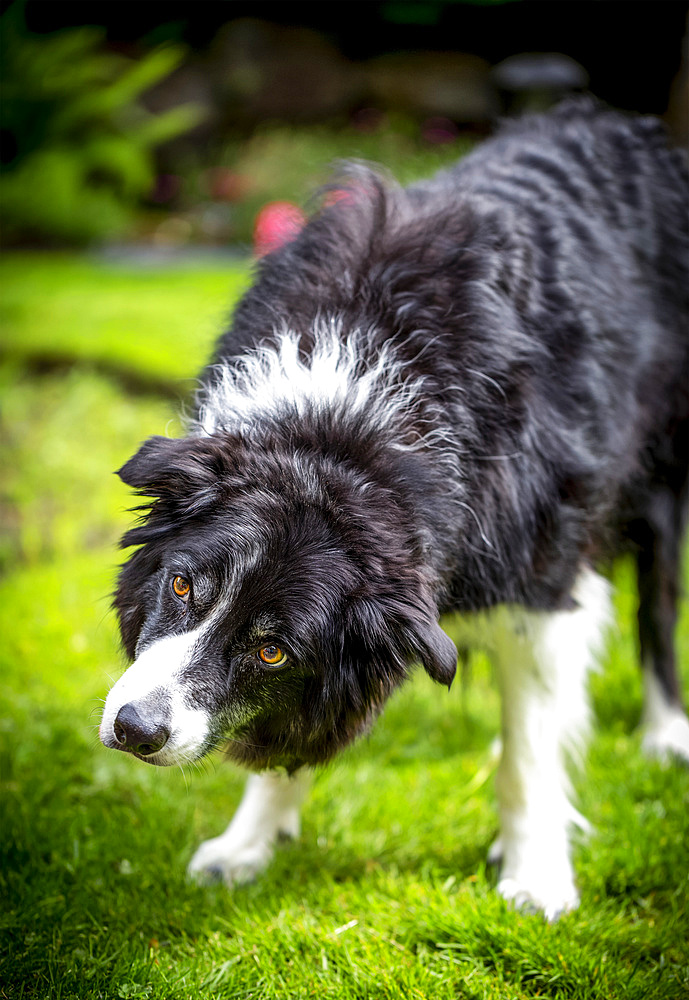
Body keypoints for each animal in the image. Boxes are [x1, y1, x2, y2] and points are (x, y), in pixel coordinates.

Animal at [98, 103, 688, 920]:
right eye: (183, 586)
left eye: (272, 650)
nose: (133, 731)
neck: (346, 433)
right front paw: (250, 842)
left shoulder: (541, 586)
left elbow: (532, 755)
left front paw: (537, 875)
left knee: (656, 604)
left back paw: (666, 734)